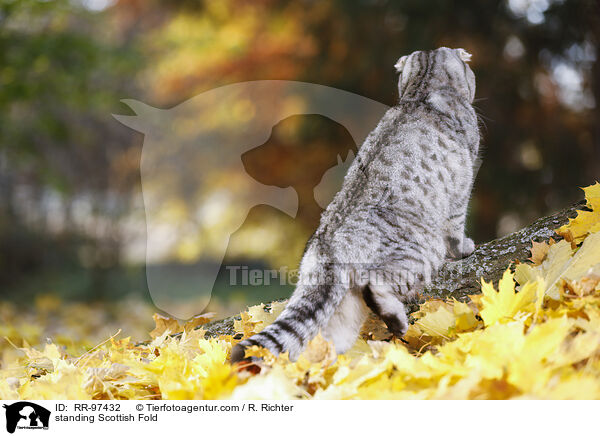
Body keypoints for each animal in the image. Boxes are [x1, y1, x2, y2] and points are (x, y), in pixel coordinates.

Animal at [230, 46, 478, 362]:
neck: (421, 89)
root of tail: (326, 247)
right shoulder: (462, 185)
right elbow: (457, 225)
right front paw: (463, 248)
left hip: (342, 308)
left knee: (322, 342)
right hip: (419, 255)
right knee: (375, 285)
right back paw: (396, 320)